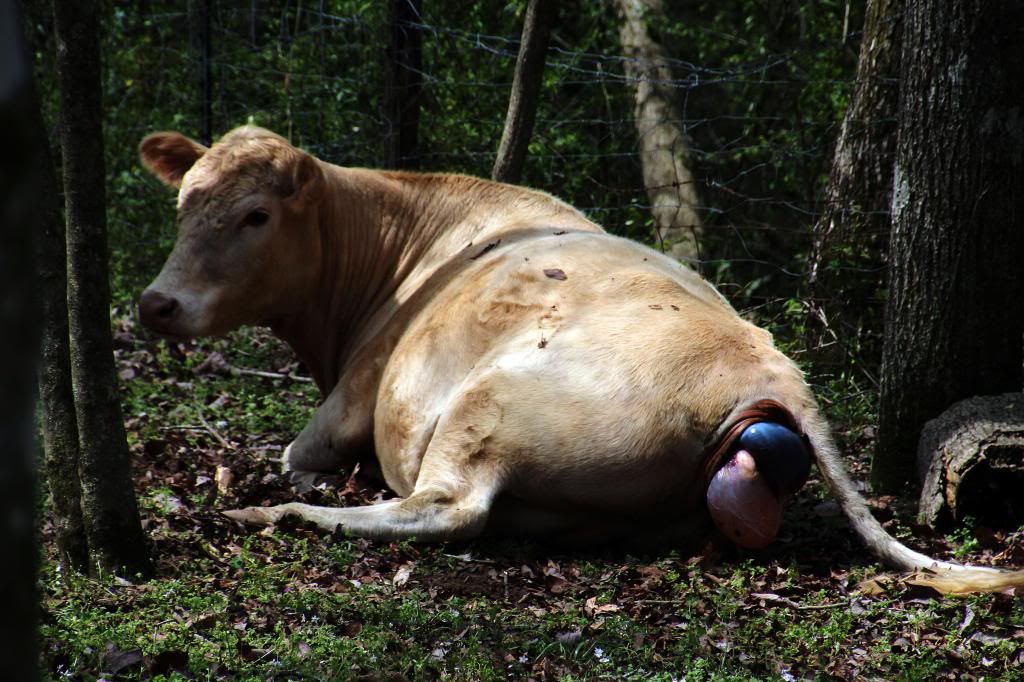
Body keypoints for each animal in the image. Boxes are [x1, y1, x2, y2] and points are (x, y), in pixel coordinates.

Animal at [139, 125, 1021, 593]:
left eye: (255, 215)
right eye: (182, 203)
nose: (156, 303)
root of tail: (765, 363)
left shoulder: (353, 396)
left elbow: (300, 448)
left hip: (483, 406)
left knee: (447, 508)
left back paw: (277, 514)